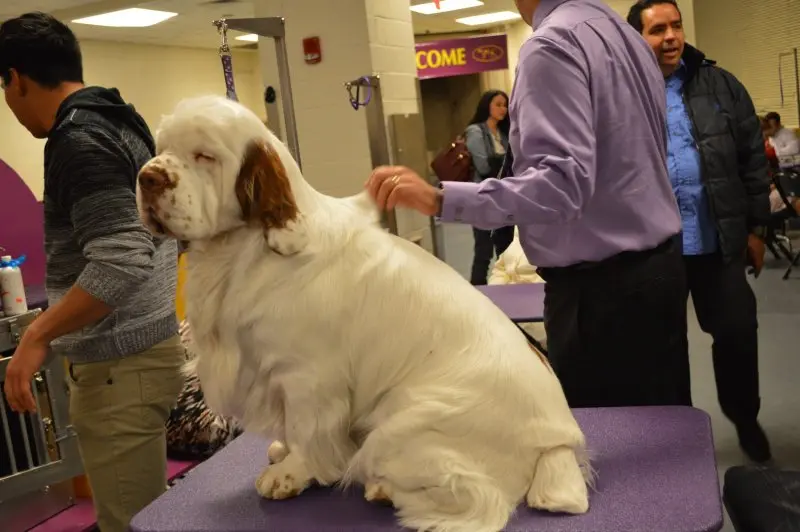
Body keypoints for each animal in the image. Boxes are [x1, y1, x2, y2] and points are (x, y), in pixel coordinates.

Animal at [134, 96, 592, 532]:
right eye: (162, 149)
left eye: (204, 156)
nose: (147, 177)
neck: (252, 246)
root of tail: (559, 443)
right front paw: (282, 452)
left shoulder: (308, 376)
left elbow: (305, 429)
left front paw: (291, 473)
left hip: (405, 421)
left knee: (480, 497)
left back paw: (383, 489)